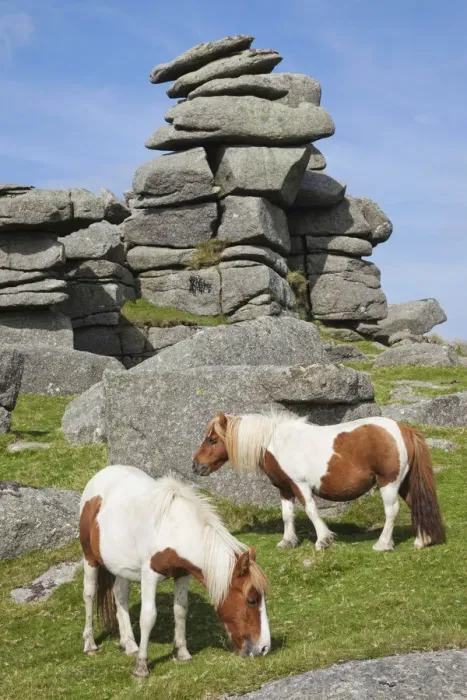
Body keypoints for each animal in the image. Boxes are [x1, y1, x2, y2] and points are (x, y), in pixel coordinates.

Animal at [79, 465, 270, 677]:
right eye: (251, 599)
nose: (264, 648)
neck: (174, 529)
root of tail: (103, 473)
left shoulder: (182, 575)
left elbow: (180, 610)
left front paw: (182, 653)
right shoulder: (149, 576)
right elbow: (148, 617)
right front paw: (141, 667)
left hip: (121, 568)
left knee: (120, 595)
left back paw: (129, 644)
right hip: (90, 558)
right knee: (89, 595)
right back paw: (90, 644)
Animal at [192, 412, 445, 552]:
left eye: (212, 439)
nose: (195, 465)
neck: (277, 442)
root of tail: (404, 429)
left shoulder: (300, 486)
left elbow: (312, 511)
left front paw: (323, 540)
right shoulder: (285, 489)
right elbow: (287, 516)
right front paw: (287, 542)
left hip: (388, 483)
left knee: (391, 512)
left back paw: (383, 544)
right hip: (404, 484)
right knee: (415, 505)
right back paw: (422, 541)